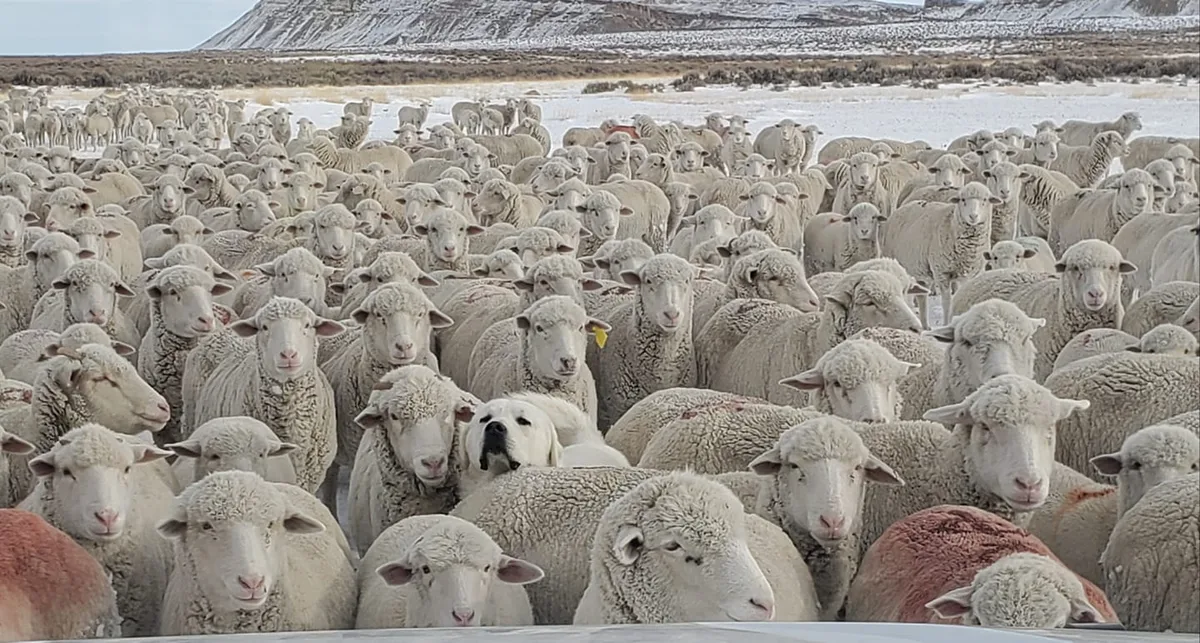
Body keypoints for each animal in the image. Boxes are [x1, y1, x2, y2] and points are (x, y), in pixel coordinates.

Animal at [884, 182, 997, 328]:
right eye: (962, 200)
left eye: (985, 200)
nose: (973, 216)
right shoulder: (942, 272)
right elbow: (947, 302)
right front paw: (946, 323)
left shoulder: (968, 274)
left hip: (920, 270)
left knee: (922, 297)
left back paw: (925, 325)